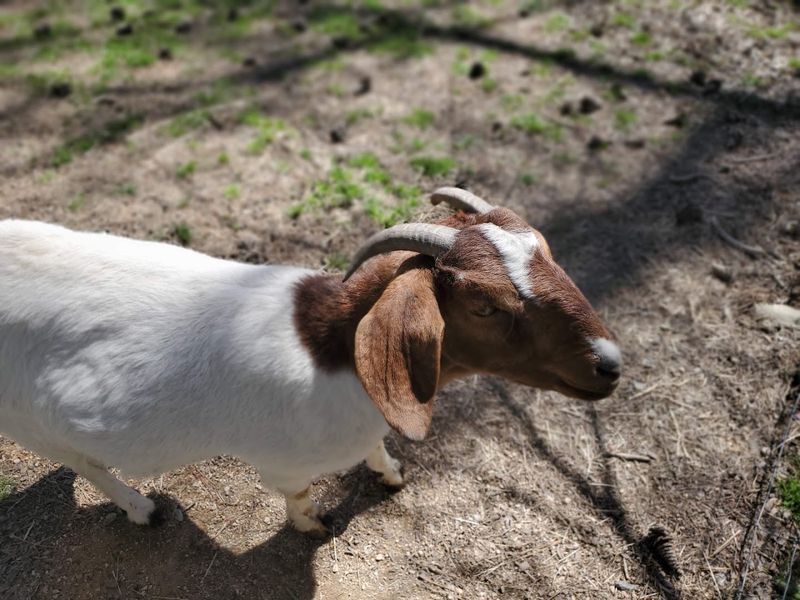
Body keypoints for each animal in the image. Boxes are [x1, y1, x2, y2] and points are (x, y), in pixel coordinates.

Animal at [0, 188, 621, 535]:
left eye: (548, 251)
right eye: (484, 305)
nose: (608, 363)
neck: (335, 352)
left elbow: (377, 448)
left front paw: (391, 474)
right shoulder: (283, 463)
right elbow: (297, 496)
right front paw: (315, 526)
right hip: (29, 425)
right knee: (86, 464)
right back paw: (142, 509)